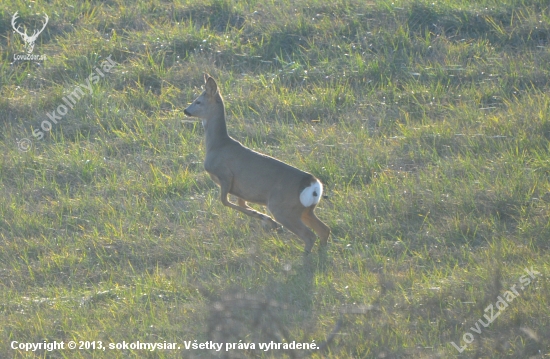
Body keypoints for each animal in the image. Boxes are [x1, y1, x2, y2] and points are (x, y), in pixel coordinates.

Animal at [185, 74, 332, 253]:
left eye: (198, 101)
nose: (186, 111)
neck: (217, 145)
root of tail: (313, 184)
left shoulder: (226, 175)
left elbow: (225, 202)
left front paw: (269, 221)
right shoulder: (241, 190)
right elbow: (241, 204)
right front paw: (266, 220)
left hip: (282, 208)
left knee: (309, 235)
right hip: (305, 210)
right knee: (324, 229)